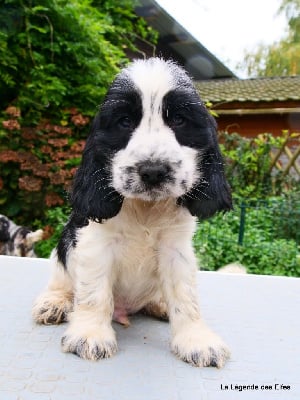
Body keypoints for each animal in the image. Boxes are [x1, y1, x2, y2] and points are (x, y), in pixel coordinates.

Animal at [33, 57, 234, 368]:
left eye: (179, 120)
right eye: (124, 122)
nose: (153, 171)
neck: (145, 209)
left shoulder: (176, 248)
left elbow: (185, 295)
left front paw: (197, 340)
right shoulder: (95, 243)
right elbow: (94, 293)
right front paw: (89, 335)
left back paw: (160, 305)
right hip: (64, 246)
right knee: (61, 280)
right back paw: (53, 304)